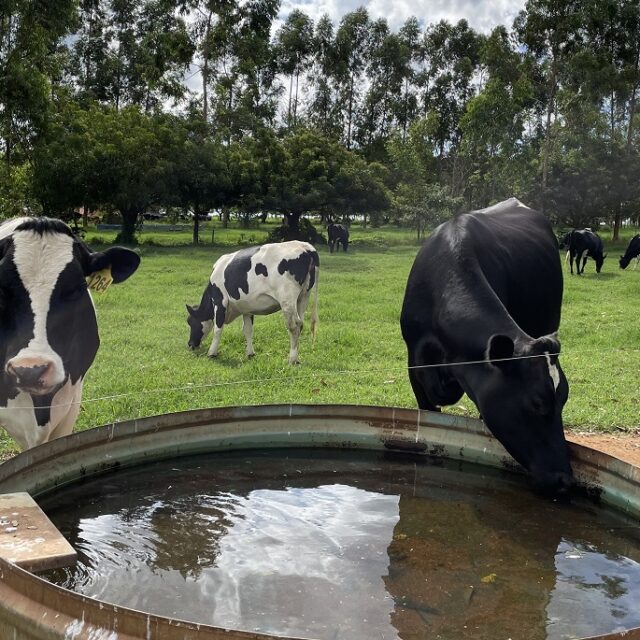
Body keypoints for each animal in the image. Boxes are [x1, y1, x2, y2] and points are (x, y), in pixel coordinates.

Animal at [186, 241, 318, 364]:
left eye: (191, 322)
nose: (190, 344)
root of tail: (306, 247)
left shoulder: (220, 301)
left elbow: (218, 329)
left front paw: (212, 353)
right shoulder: (247, 308)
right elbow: (248, 330)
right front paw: (250, 354)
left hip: (287, 299)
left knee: (294, 325)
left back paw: (292, 359)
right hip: (303, 297)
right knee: (301, 324)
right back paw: (297, 357)